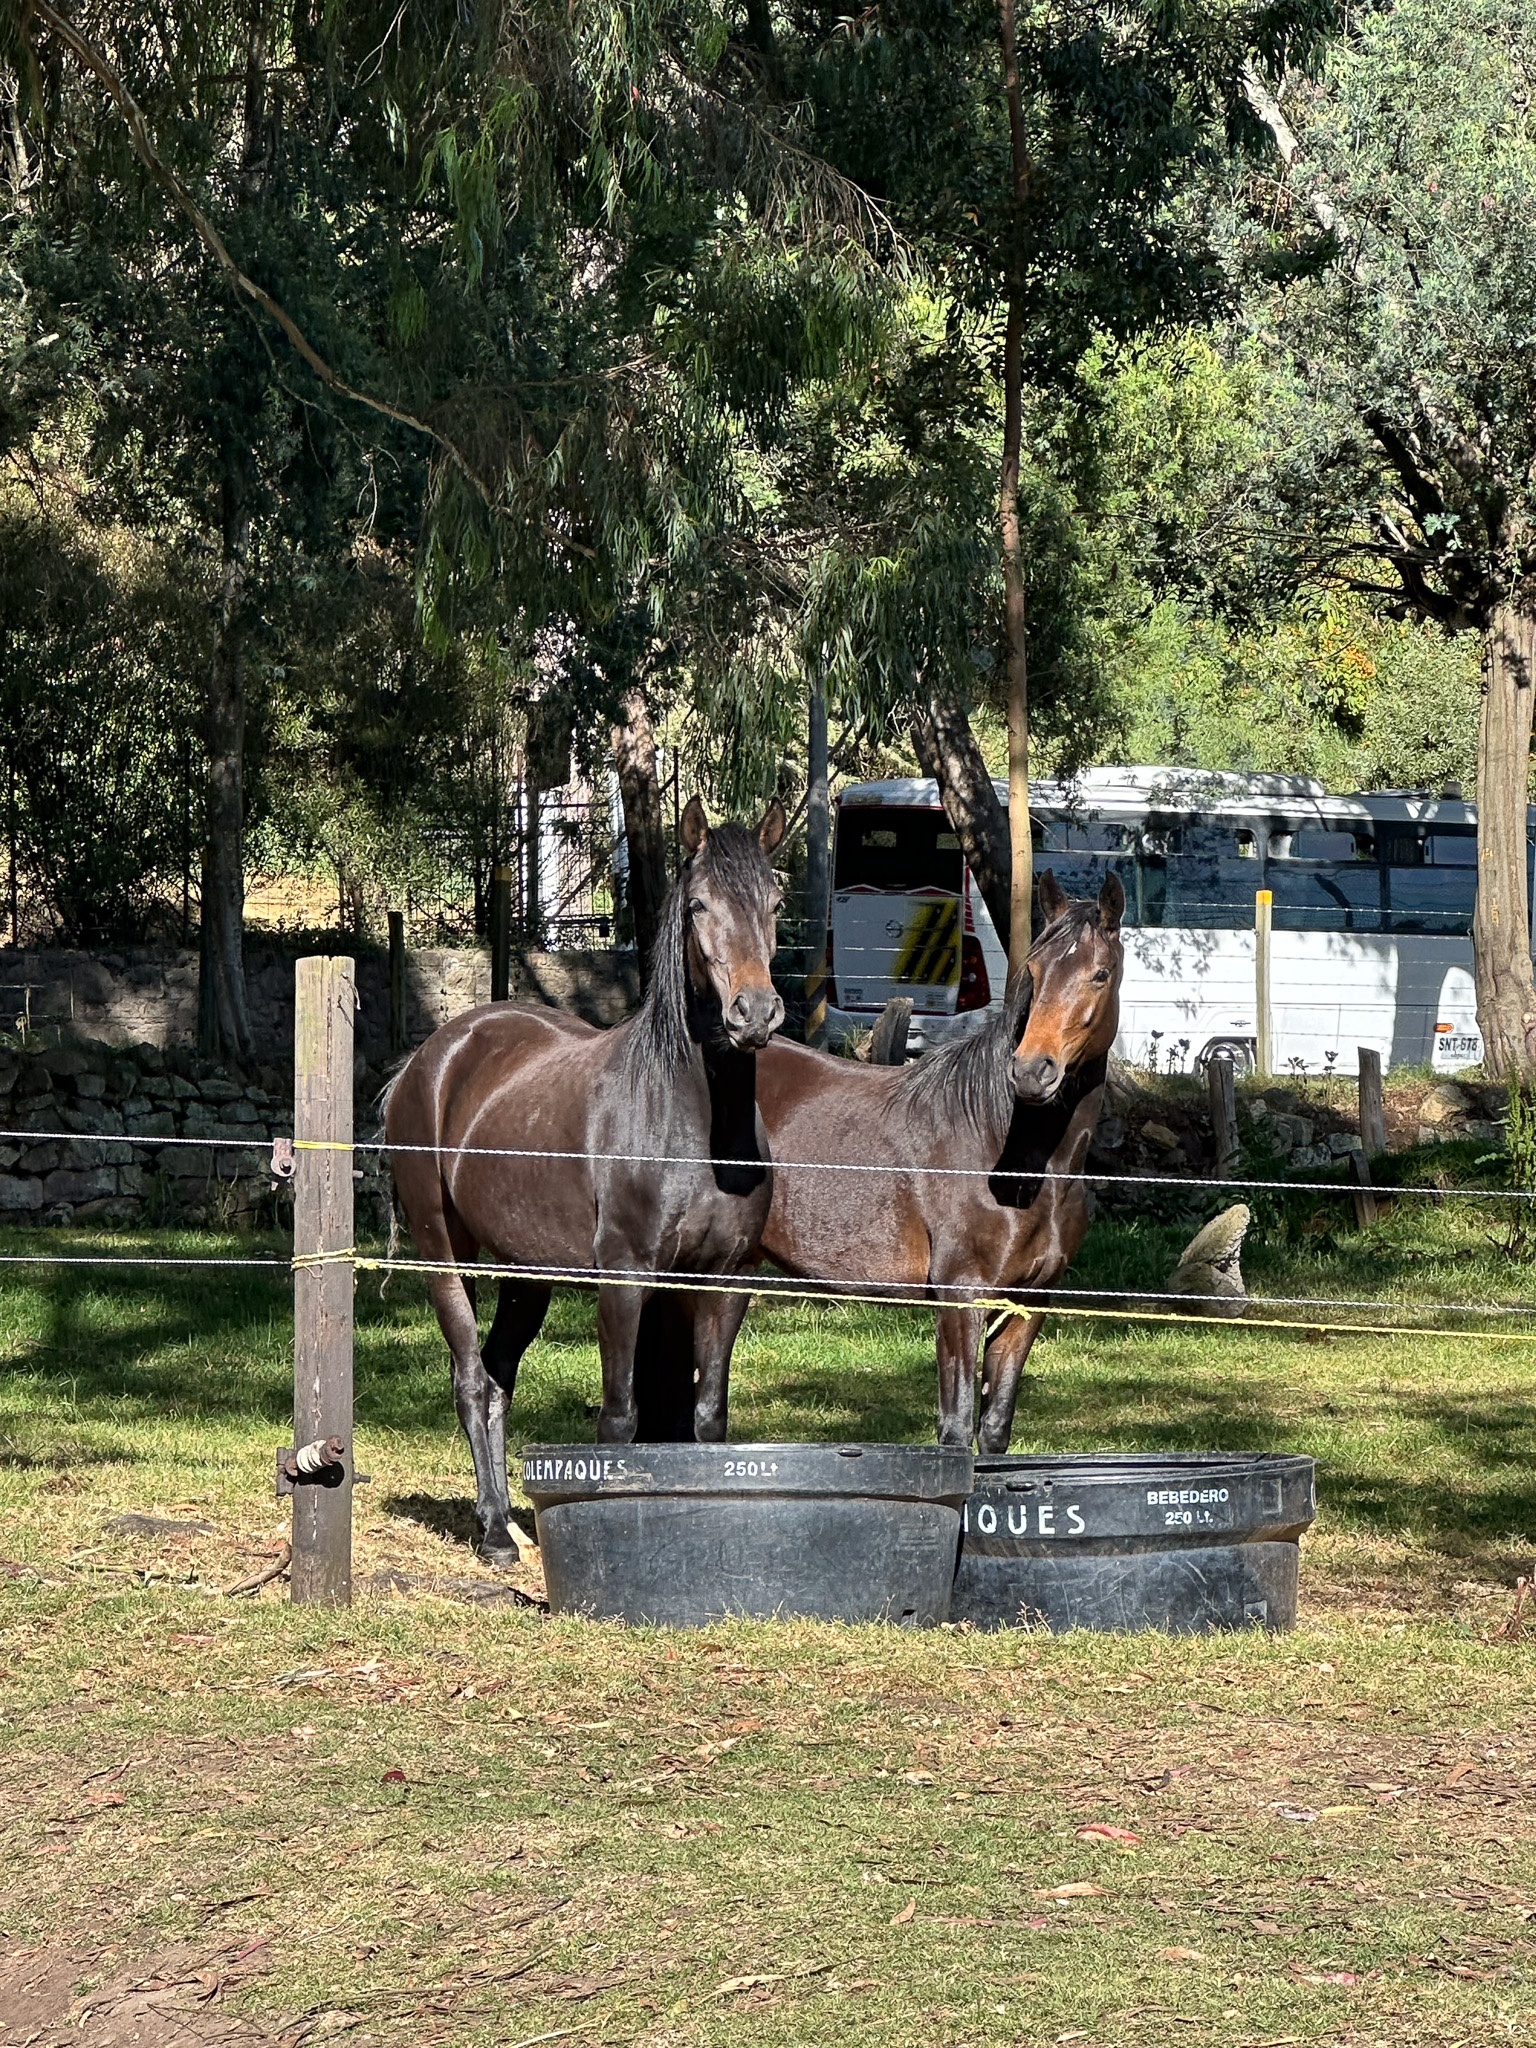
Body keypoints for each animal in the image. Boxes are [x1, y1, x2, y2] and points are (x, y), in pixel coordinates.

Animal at [384, 796, 787, 1562]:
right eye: (698, 905)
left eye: (776, 903)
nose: (754, 1013)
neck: (691, 1122)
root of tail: (429, 1059)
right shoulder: (625, 1278)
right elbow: (621, 1419)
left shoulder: (724, 1280)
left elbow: (704, 1420)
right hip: (443, 1252)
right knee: (470, 1379)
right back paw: (494, 1533)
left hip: (526, 1273)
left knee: (497, 1378)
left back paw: (502, 1518)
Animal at [752, 869, 1125, 1451]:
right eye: (1035, 970)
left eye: (1099, 974)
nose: (1031, 1071)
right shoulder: (959, 1299)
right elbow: (955, 1431)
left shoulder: (1030, 1304)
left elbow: (993, 1431)